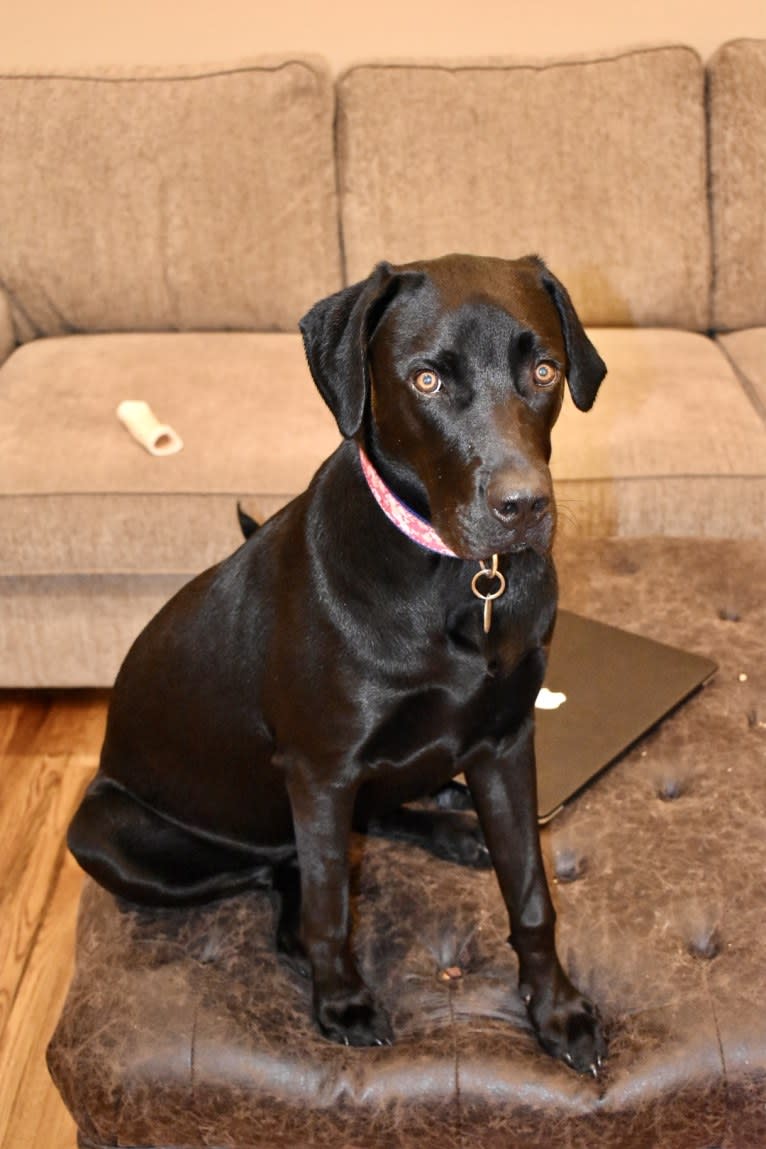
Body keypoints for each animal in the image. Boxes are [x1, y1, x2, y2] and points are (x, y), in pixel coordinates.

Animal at [71, 253, 610, 1075]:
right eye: (427, 380)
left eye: (544, 370)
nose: (524, 508)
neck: (462, 583)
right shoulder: (321, 770)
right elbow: (329, 904)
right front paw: (341, 1001)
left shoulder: (506, 742)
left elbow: (530, 892)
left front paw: (556, 1011)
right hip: (103, 832)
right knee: (281, 868)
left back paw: (453, 822)